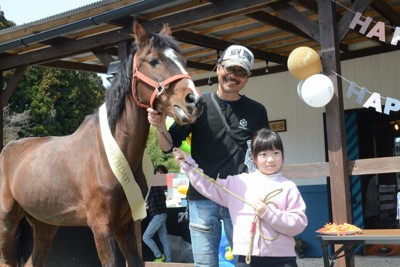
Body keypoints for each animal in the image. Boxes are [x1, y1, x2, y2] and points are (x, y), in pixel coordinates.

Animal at [0, 21, 202, 267]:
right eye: (154, 60)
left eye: (183, 61)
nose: (194, 100)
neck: (106, 156)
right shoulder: (101, 228)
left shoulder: (126, 224)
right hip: (7, 222)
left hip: (44, 224)